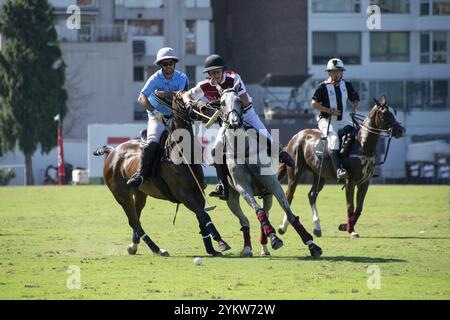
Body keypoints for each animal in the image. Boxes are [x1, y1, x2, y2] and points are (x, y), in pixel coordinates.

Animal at [93, 91, 230, 256]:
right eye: (183, 99)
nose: (209, 110)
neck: (182, 151)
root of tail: (113, 151)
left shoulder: (198, 191)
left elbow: (202, 217)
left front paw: (211, 248)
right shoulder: (183, 195)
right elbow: (204, 214)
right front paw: (221, 243)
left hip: (140, 193)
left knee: (136, 217)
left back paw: (133, 245)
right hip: (121, 195)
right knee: (134, 221)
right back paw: (157, 249)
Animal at [215, 85, 324, 258]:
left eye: (239, 101)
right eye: (221, 103)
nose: (235, 123)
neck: (244, 150)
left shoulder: (273, 184)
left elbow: (291, 214)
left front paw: (312, 245)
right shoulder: (242, 187)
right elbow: (258, 212)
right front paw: (275, 238)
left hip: (267, 195)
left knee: (264, 213)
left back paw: (264, 248)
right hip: (231, 197)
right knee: (245, 220)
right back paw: (248, 248)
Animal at [276, 96, 406, 239]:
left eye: (395, 112)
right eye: (384, 113)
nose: (401, 130)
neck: (362, 146)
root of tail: (295, 137)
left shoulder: (365, 183)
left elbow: (359, 208)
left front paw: (345, 226)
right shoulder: (350, 182)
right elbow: (350, 206)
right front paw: (351, 230)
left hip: (319, 175)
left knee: (312, 196)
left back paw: (317, 228)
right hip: (295, 172)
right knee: (288, 195)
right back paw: (283, 227)